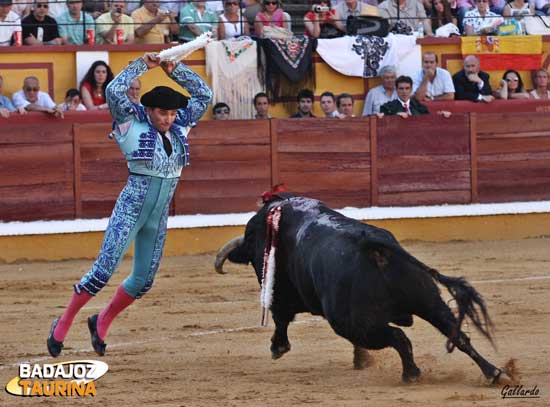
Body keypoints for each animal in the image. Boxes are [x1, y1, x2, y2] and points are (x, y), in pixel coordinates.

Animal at [215, 196, 512, 384]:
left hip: (352, 322)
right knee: (458, 335)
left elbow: (280, 318)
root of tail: (374, 246)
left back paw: (411, 374)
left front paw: (278, 348)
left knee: (398, 337)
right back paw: (495, 373)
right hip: (429, 301)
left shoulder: (282, 294)